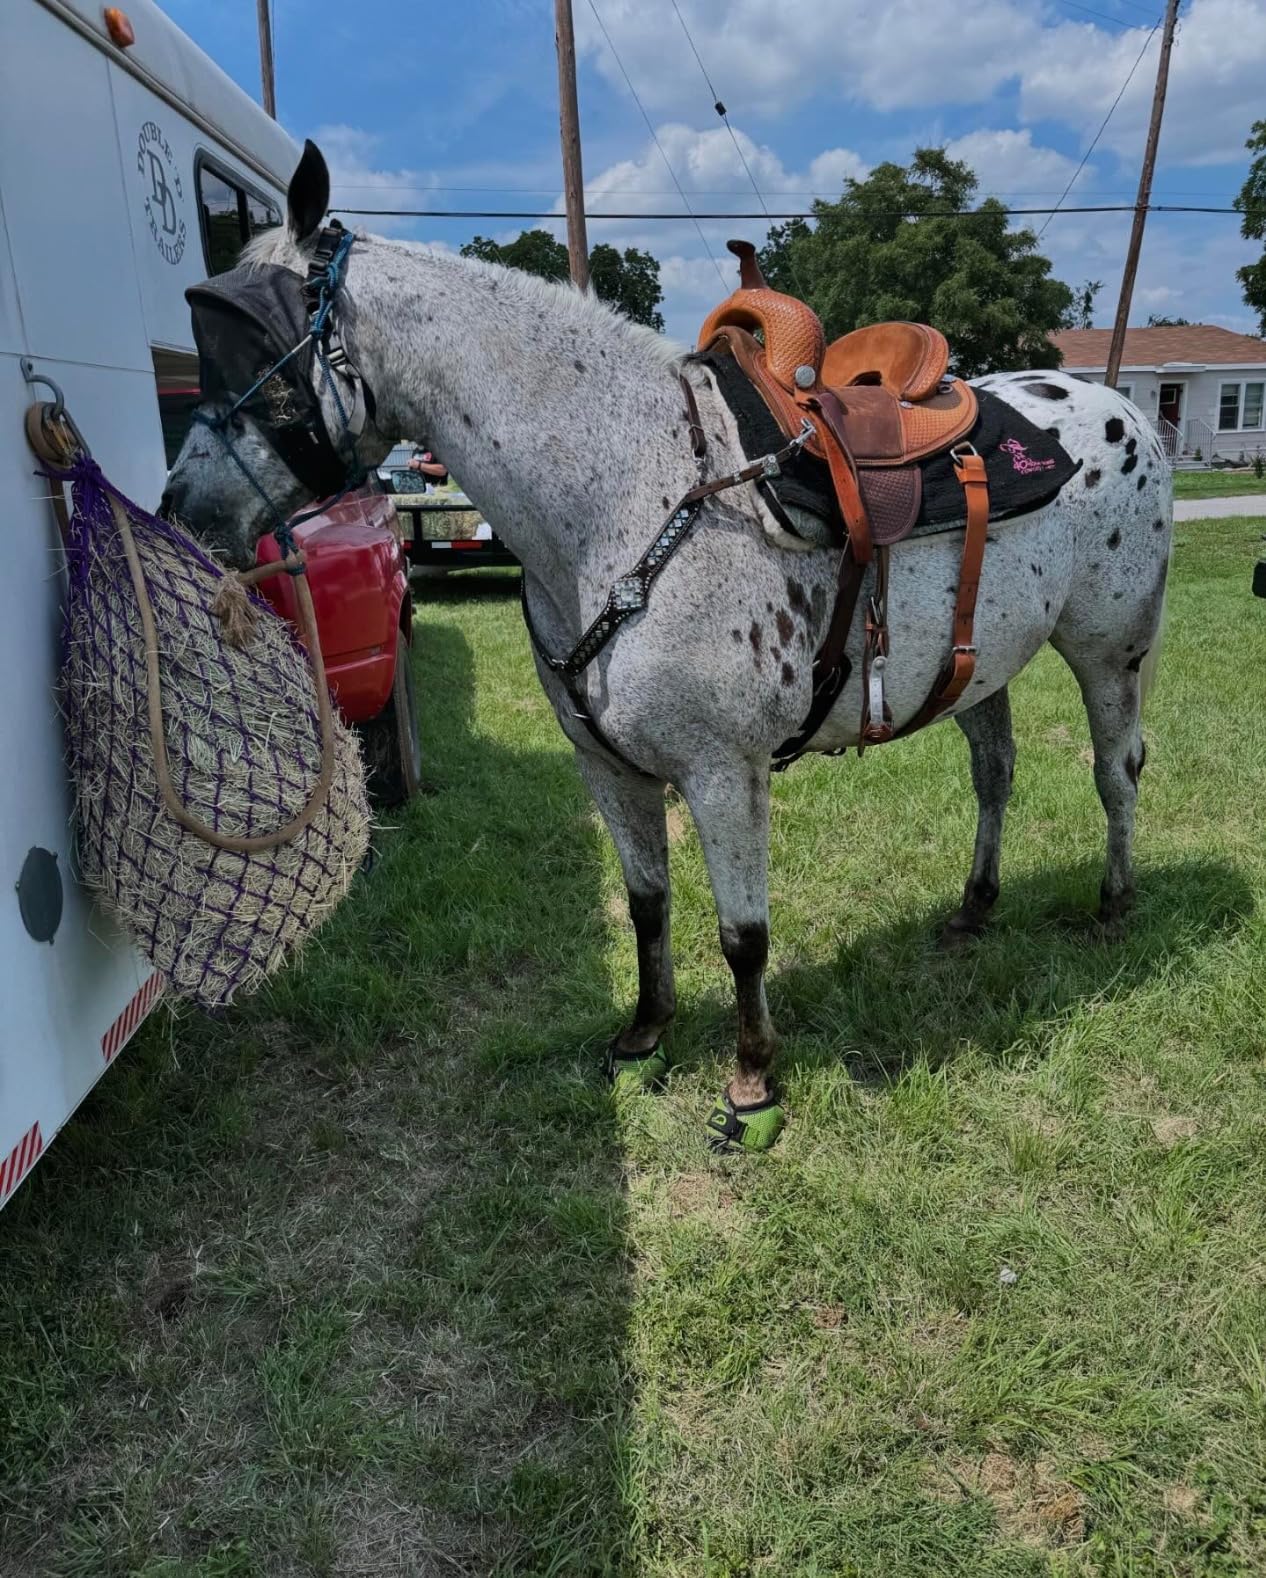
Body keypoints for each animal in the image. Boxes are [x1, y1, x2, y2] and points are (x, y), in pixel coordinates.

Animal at [162, 142, 1173, 1152]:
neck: (625, 491)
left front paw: (752, 1085)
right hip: (978, 669)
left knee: (1117, 770)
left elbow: (743, 935)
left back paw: (1116, 904)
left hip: (1109, 652)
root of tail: (1123, 410)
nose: (183, 511)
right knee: (995, 773)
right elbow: (646, 904)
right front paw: (645, 1036)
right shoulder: (607, 767)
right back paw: (974, 907)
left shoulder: (723, 771)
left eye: (257, 349)